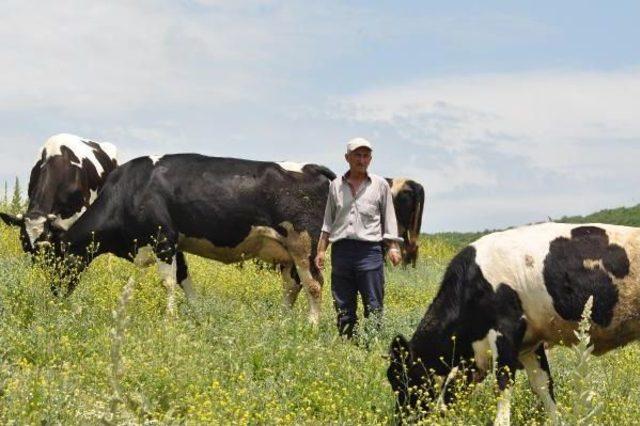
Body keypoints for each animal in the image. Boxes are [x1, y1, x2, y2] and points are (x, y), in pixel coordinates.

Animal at [48, 155, 336, 322]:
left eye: (55, 262)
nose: (53, 295)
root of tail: (313, 168)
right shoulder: (172, 244)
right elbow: (182, 278)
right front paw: (197, 313)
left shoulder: (163, 238)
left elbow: (167, 282)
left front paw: (169, 319)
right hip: (287, 252)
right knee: (292, 285)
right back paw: (282, 319)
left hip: (305, 245)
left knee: (314, 285)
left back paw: (311, 325)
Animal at [388, 223, 640, 426]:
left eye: (398, 379)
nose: (400, 420)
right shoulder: (529, 343)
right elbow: (543, 385)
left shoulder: (506, 331)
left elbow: (503, 384)